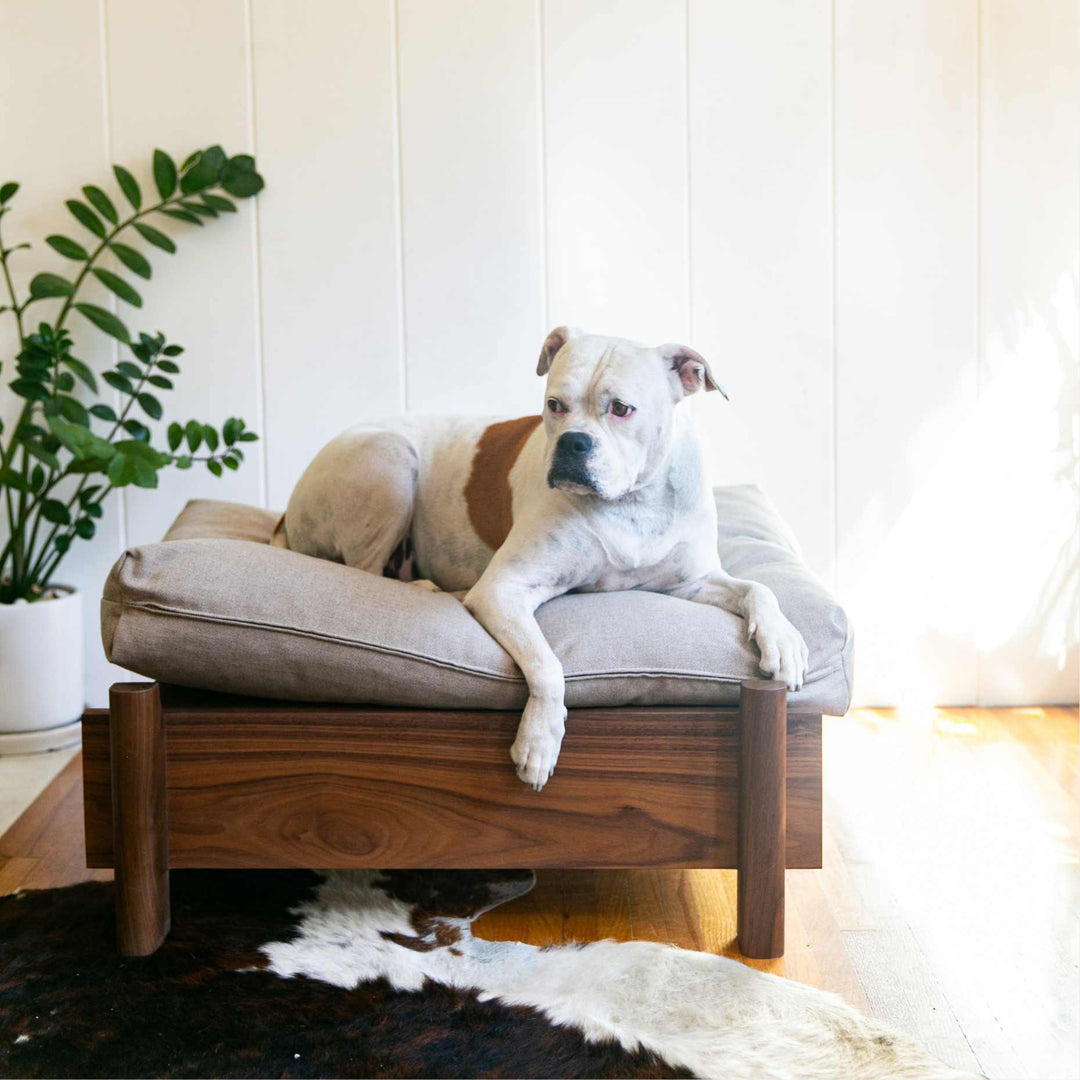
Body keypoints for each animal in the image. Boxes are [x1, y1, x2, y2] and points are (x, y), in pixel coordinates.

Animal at [274, 324, 807, 790]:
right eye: (555, 405)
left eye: (621, 409)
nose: (574, 442)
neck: (630, 502)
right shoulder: (504, 590)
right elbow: (549, 666)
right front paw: (539, 739)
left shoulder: (692, 581)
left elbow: (759, 588)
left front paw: (784, 641)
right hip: (389, 456)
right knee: (364, 570)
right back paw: (424, 585)